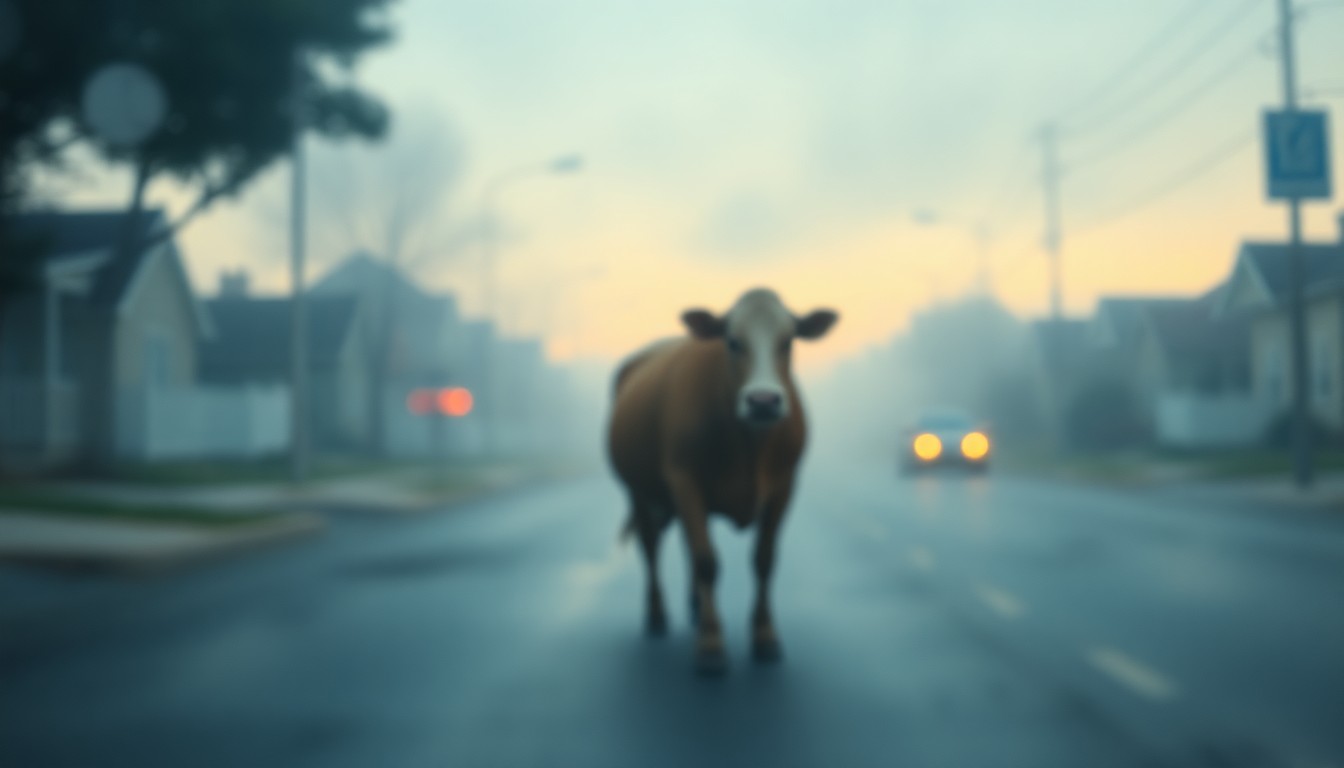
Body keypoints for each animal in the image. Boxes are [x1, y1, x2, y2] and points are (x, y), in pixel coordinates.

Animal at [605, 287, 838, 675]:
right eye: (732, 341)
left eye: (788, 340)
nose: (763, 401)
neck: (749, 448)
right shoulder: (684, 479)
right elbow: (707, 561)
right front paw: (711, 645)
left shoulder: (785, 486)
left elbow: (764, 560)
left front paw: (765, 636)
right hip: (636, 490)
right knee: (651, 545)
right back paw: (656, 615)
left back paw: (696, 607)